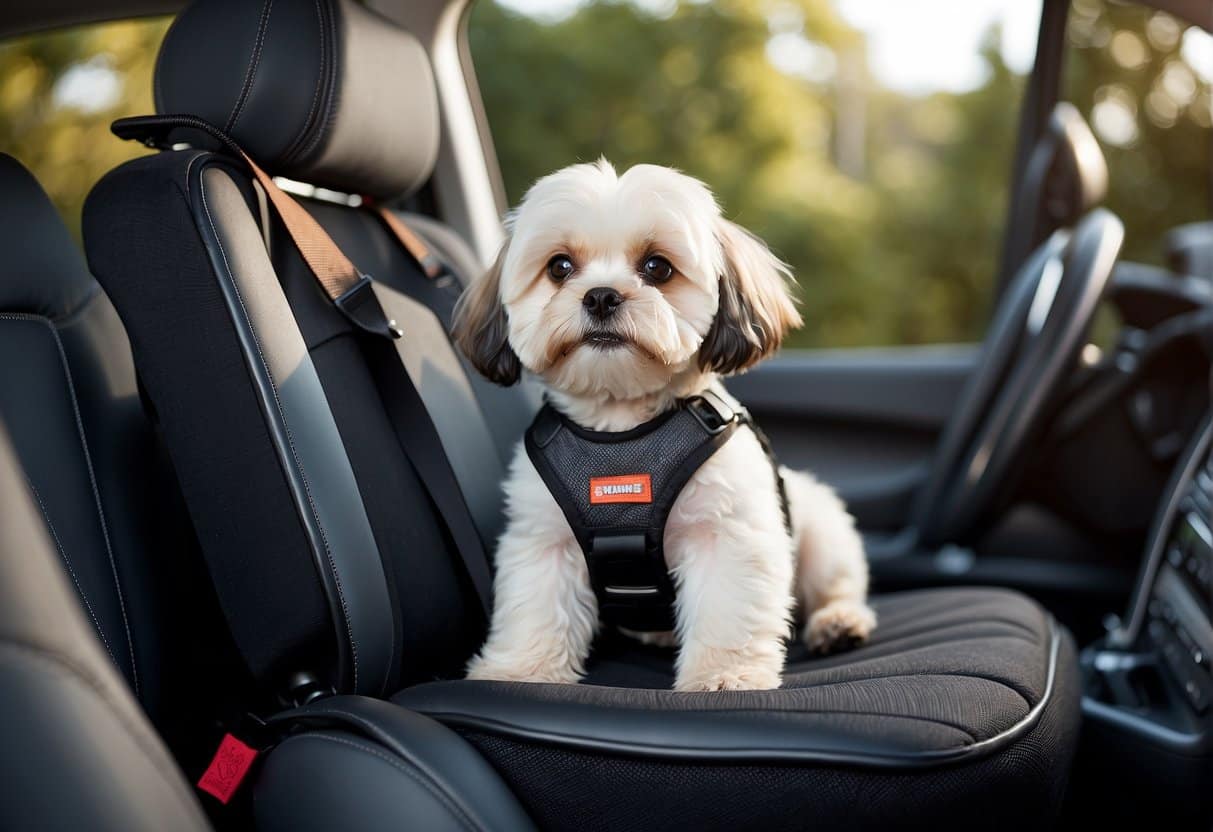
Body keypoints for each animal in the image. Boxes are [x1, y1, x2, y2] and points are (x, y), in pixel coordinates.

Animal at [451, 161, 878, 688]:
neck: (620, 428)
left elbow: (728, 611)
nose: (601, 296)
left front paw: (723, 675)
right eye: (559, 267)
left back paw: (839, 622)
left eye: (657, 267)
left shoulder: (728, 537)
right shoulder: (544, 540)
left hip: (819, 530)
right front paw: (520, 671)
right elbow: (537, 609)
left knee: (836, 586)